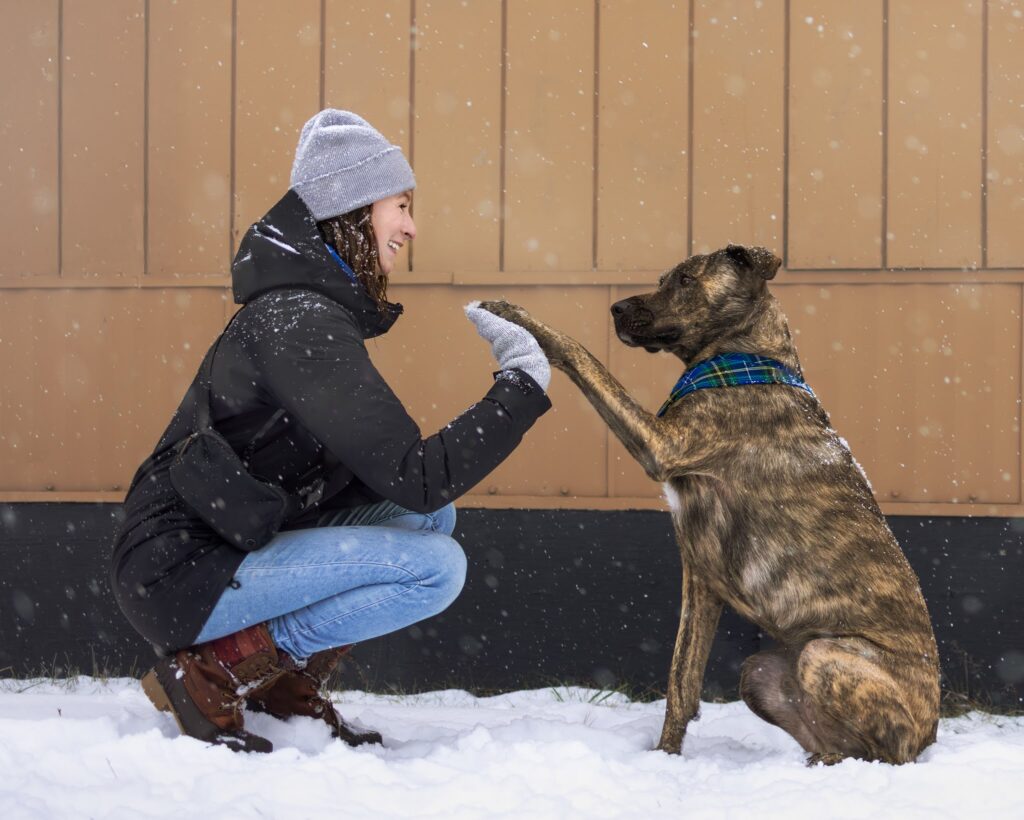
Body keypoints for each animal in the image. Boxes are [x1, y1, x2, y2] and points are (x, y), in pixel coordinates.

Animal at [483, 244, 937, 769]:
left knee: (888, 752)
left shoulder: (662, 444)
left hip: (826, 657)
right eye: (664, 277)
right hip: (759, 669)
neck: (744, 356)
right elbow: (682, 681)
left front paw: (519, 318)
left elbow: (584, 355)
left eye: (685, 280)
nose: (616, 308)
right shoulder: (700, 577)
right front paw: (665, 758)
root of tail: (931, 733)